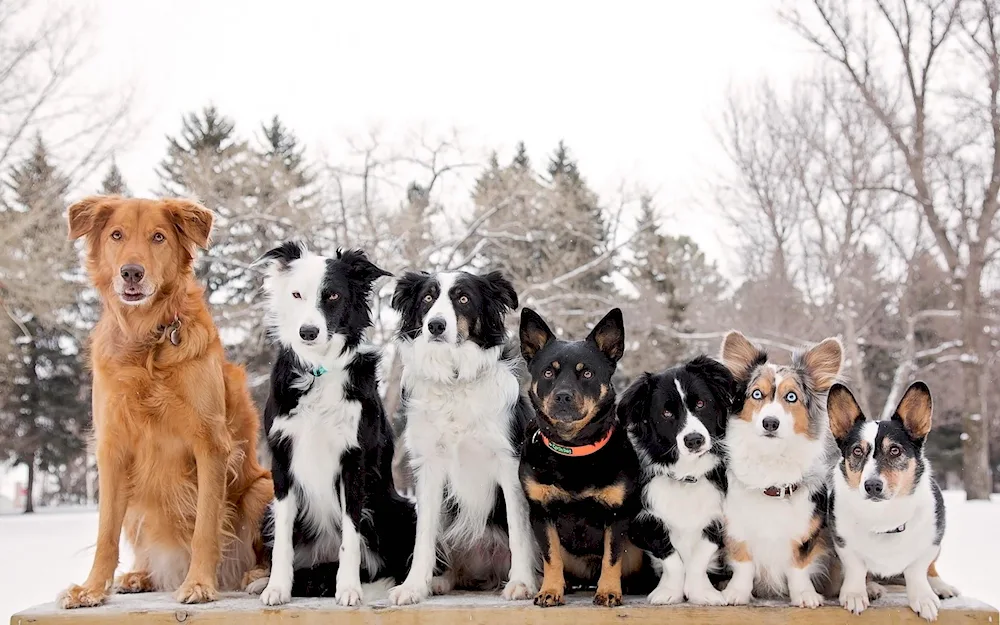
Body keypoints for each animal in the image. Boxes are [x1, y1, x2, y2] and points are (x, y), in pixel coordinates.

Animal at [62, 195, 274, 604]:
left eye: (158, 237)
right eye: (116, 235)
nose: (131, 272)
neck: (147, 339)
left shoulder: (211, 444)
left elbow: (205, 526)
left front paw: (199, 583)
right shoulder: (112, 447)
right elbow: (105, 533)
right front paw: (92, 588)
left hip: (262, 488)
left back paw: (255, 576)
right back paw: (140, 576)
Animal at [520, 310, 644, 608]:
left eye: (587, 373)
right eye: (548, 372)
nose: (563, 396)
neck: (573, 450)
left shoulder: (616, 514)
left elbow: (612, 557)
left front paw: (609, 591)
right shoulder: (541, 513)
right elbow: (551, 556)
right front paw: (551, 590)